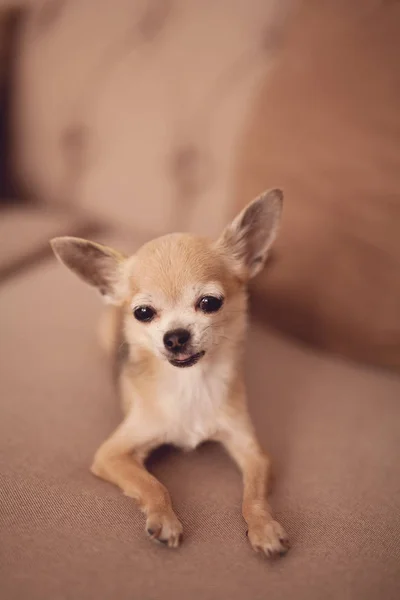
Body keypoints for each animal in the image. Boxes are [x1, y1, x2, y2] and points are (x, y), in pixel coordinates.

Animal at [50, 188, 290, 556]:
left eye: (210, 303)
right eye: (143, 313)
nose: (175, 336)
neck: (190, 383)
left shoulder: (253, 453)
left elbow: (254, 497)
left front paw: (263, 527)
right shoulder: (111, 455)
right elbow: (153, 485)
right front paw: (164, 519)